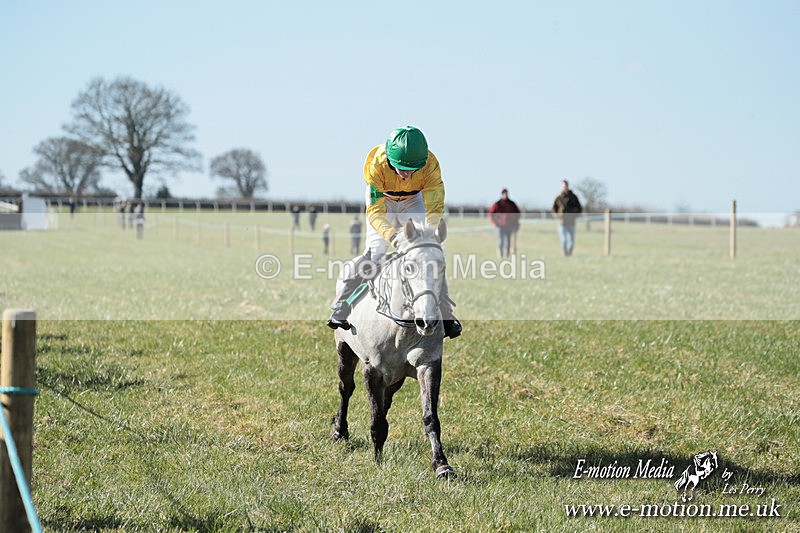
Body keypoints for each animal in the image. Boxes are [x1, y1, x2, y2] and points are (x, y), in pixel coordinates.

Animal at [330, 218, 456, 479]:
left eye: (442, 266)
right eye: (409, 267)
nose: (427, 322)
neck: (401, 329)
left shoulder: (428, 365)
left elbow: (430, 416)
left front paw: (441, 464)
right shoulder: (373, 370)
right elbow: (376, 417)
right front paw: (377, 459)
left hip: (396, 375)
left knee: (387, 398)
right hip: (344, 350)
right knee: (345, 388)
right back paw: (339, 430)